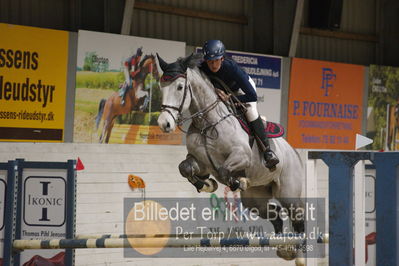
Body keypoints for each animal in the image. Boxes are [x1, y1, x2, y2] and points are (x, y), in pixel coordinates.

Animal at [157, 53, 306, 262]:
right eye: (161, 86)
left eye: (179, 87)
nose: (164, 123)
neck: (207, 123)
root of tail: (293, 150)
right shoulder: (200, 162)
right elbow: (184, 168)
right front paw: (206, 184)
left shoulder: (242, 156)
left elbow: (223, 170)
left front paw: (238, 181)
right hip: (255, 200)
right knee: (274, 214)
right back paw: (284, 247)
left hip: (288, 193)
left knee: (297, 217)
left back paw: (298, 250)